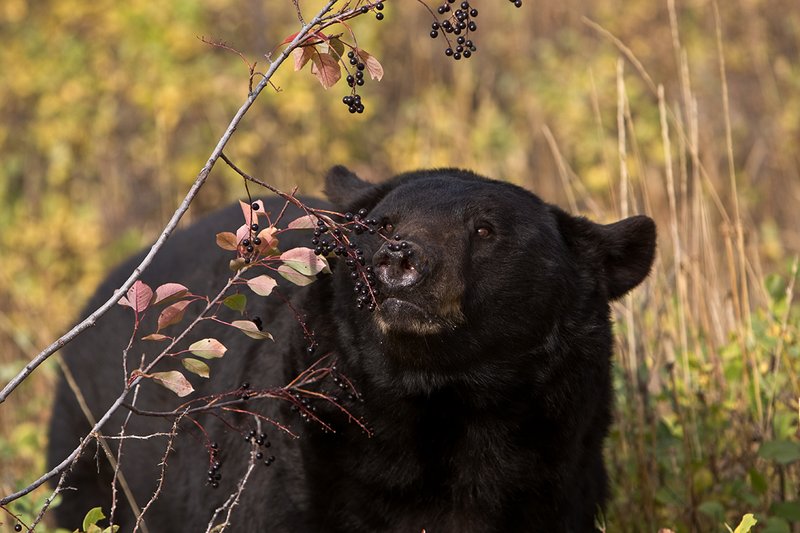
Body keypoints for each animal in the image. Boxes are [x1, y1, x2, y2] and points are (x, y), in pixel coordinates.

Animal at [47, 166, 656, 532]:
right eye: (378, 223)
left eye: (485, 229)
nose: (400, 258)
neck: (443, 402)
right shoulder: (305, 477)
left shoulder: (555, 472)